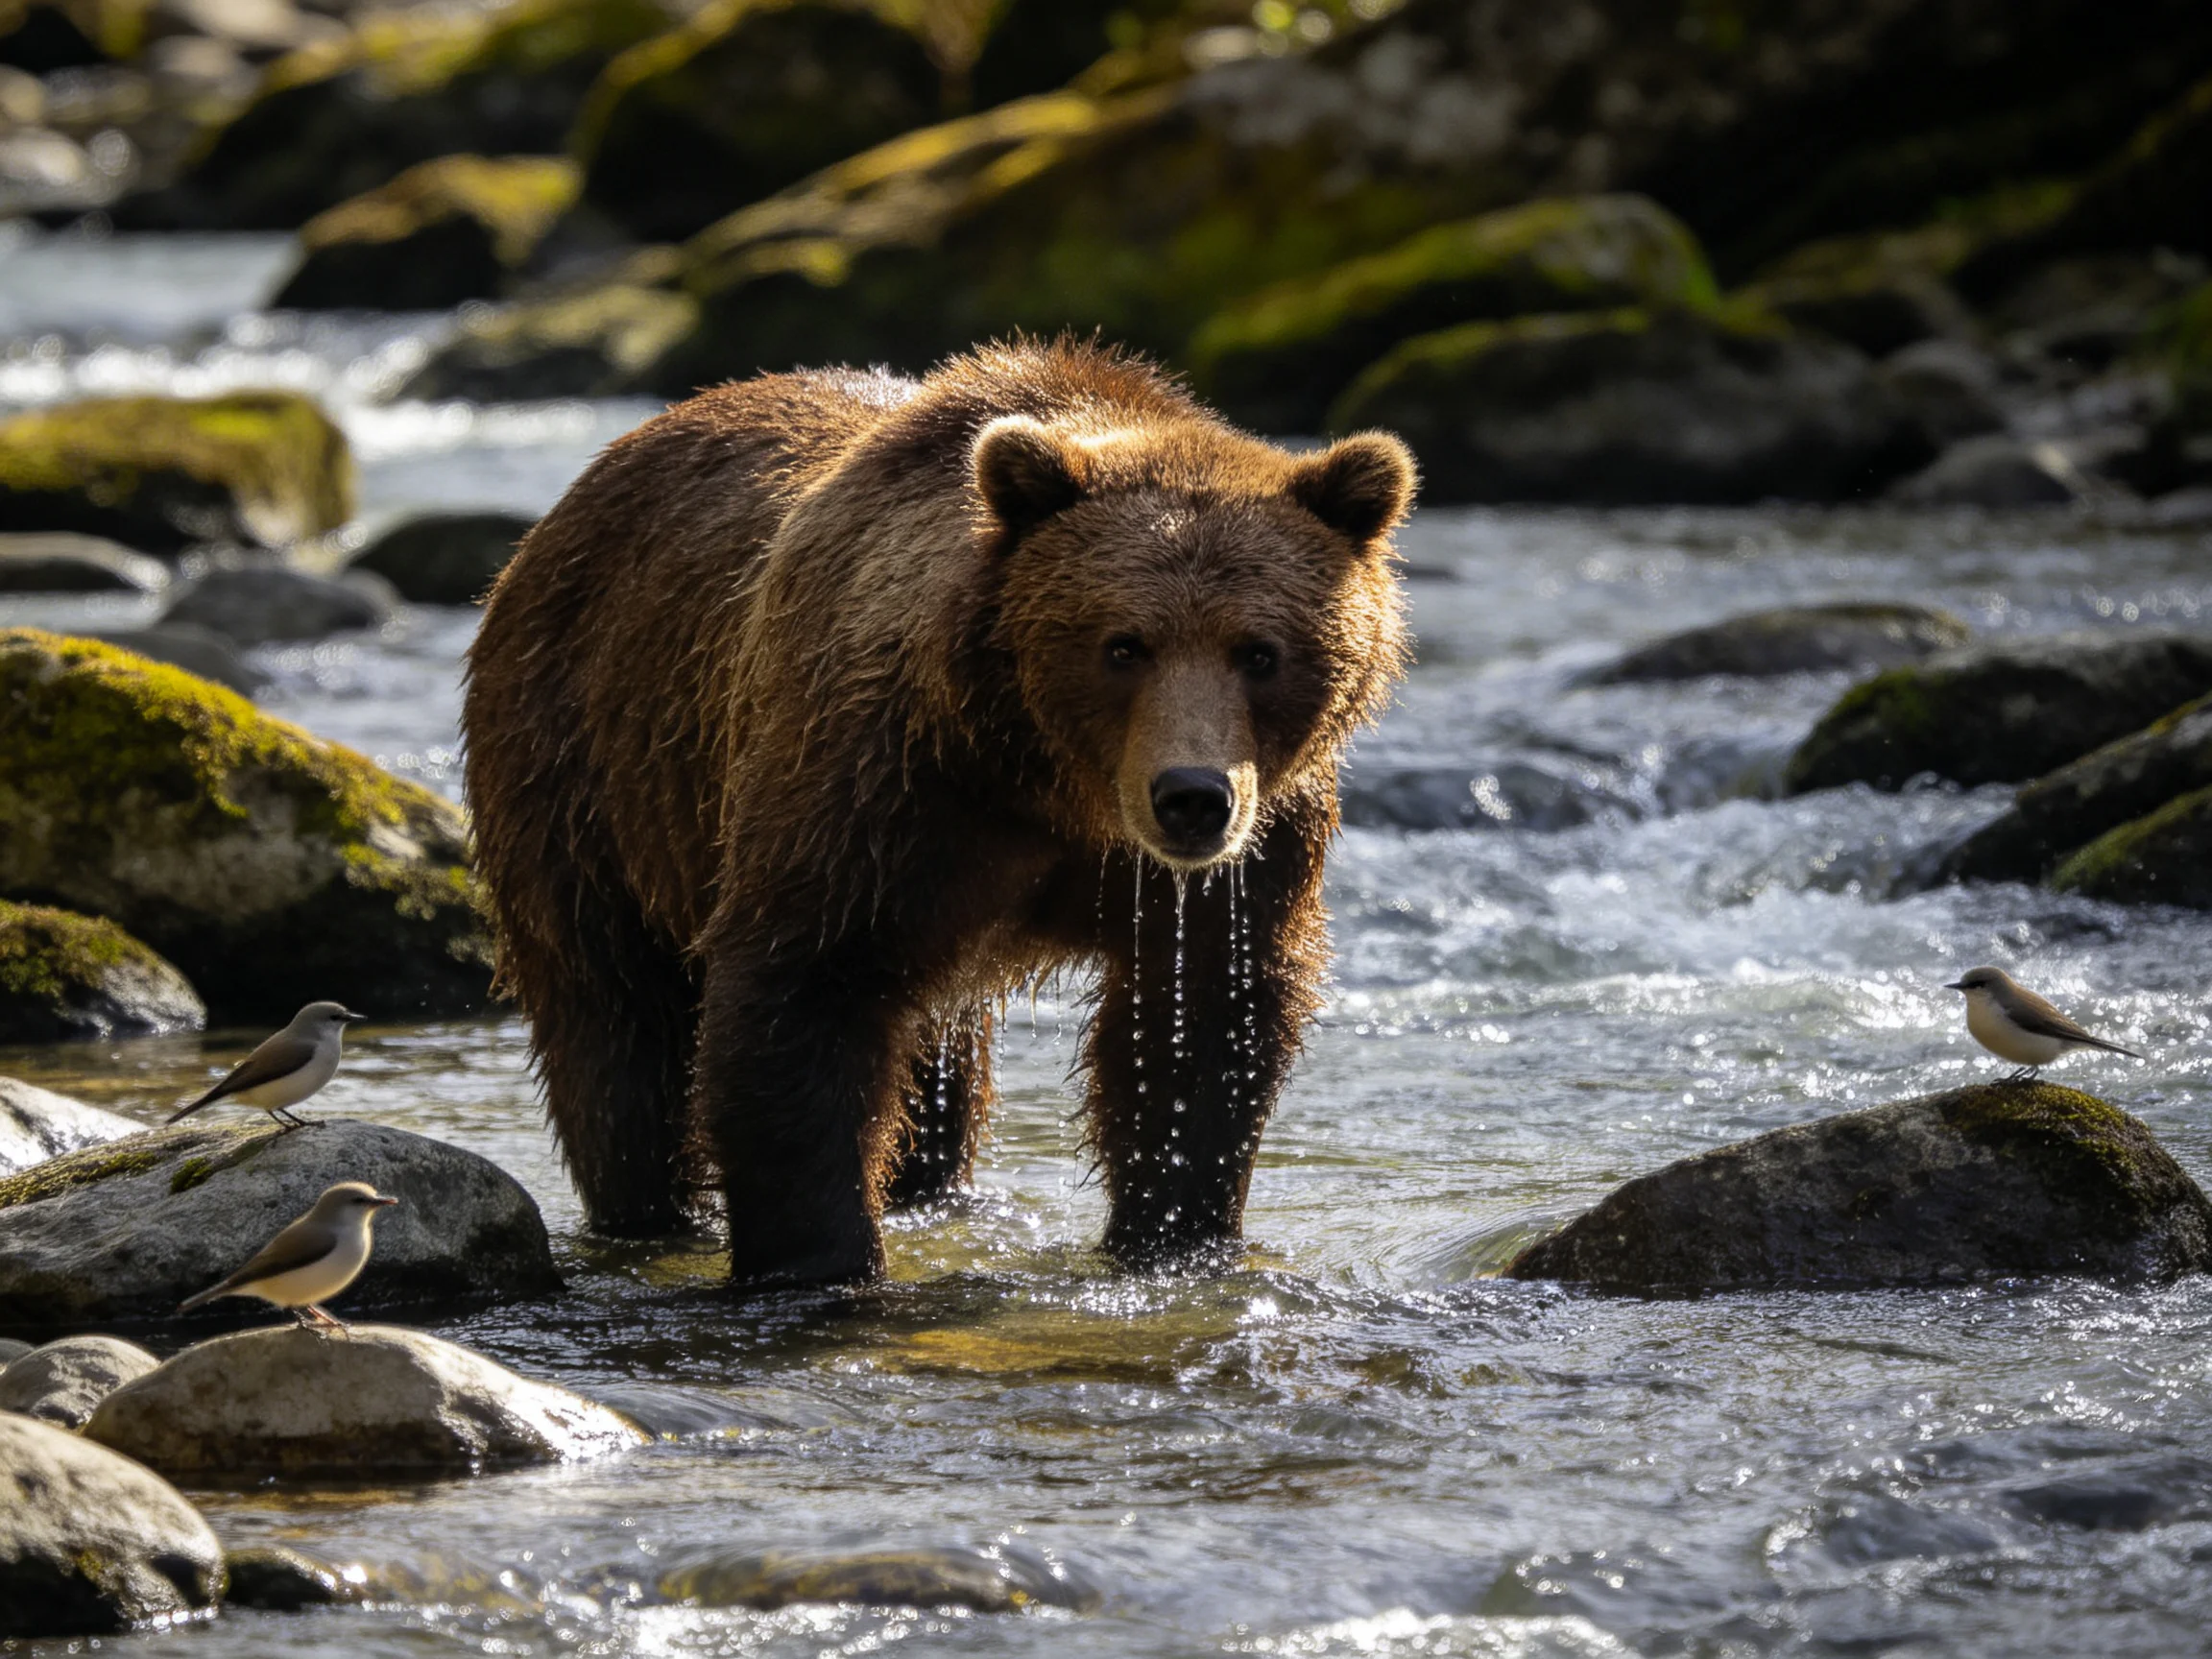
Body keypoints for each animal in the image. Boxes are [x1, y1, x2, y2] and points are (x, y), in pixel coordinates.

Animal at [463, 339, 1416, 1285]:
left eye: (1259, 652)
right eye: (1123, 646)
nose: (1191, 797)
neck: (1051, 783)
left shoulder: (1252, 846)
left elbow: (1205, 1016)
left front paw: (1173, 1234)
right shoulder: (882, 783)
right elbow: (803, 989)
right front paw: (821, 1258)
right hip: (587, 763)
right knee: (614, 1022)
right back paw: (648, 1212)